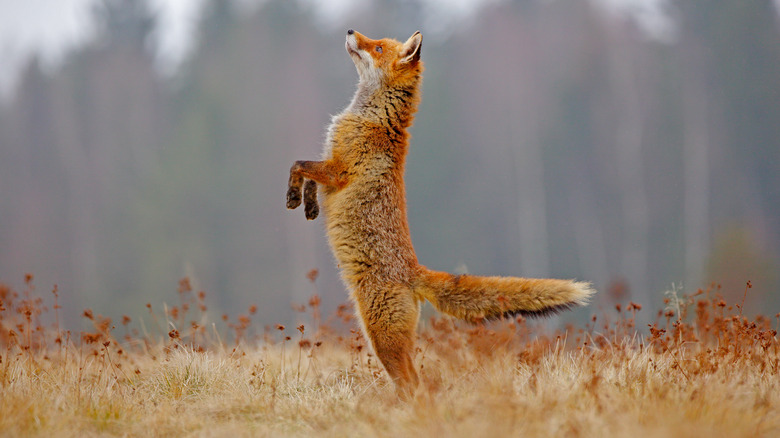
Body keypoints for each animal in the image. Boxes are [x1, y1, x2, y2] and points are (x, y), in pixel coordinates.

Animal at [284, 29, 592, 396]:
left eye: (377, 47)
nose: (349, 31)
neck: (371, 116)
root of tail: (414, 271)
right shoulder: (330, 167)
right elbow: (309, 178)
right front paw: (309, 205)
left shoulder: (338, 169)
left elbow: (298, 164)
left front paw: (292, 196)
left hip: (382, 337)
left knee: (413, 384)